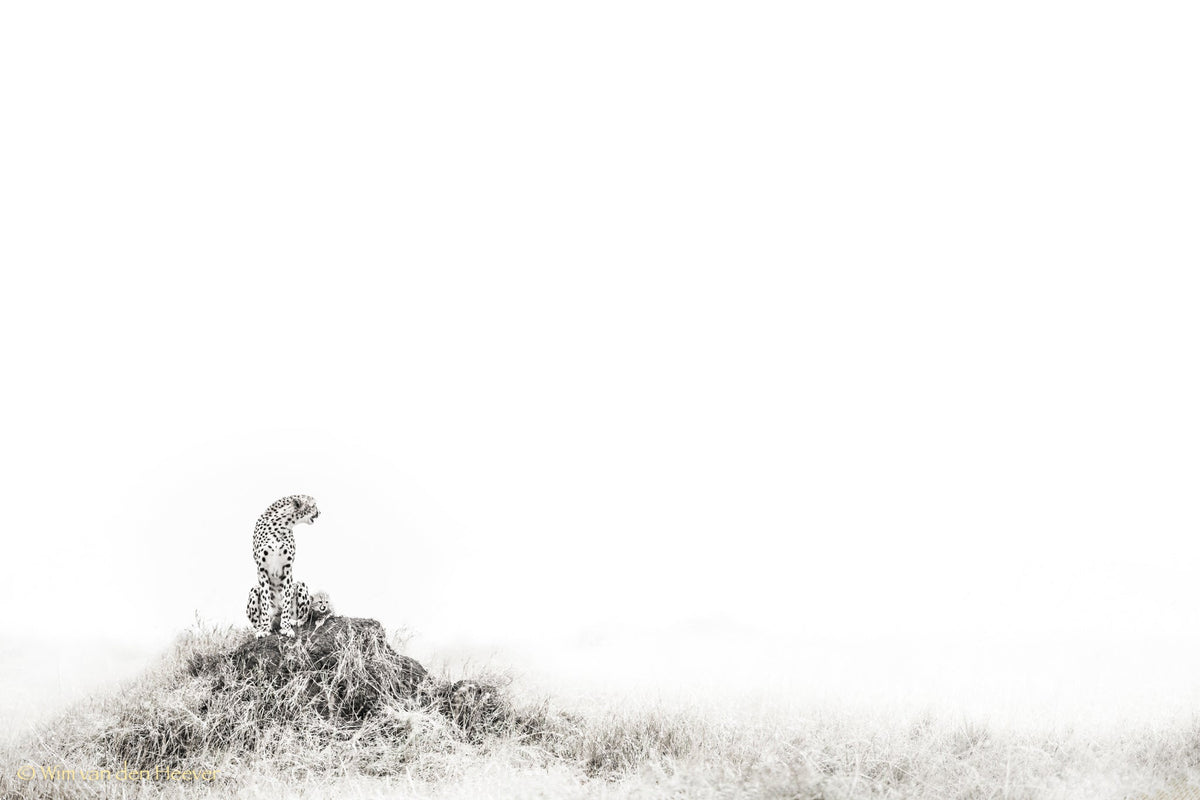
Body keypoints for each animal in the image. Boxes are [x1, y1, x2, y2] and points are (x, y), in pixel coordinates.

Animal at [249, 494, 319, 638]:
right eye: (313, 505)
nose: (320, 512)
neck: (281, 525)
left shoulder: (287, 569)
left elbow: (286, 599)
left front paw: (286, 627)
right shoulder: (262, 569)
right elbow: (265, 602)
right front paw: (264, 629)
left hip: (301, 585)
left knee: (302, 616)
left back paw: (294, 621)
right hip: (254, 590)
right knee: (258, 621)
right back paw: (262, 627)